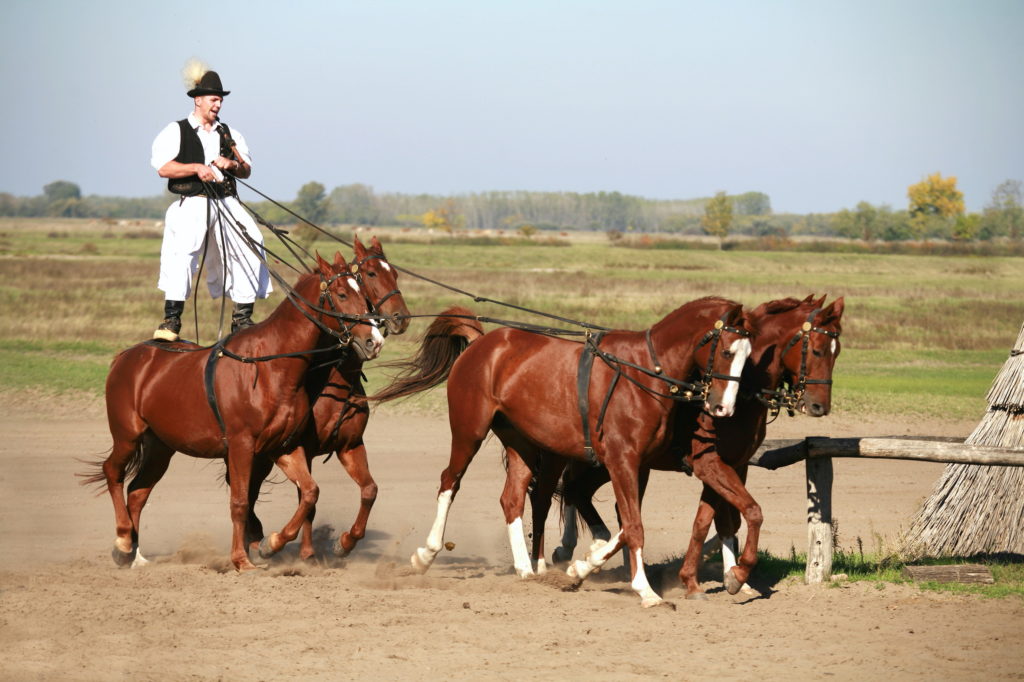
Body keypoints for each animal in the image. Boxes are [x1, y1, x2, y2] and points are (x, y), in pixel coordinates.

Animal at [83, 251, 385, 569]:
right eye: (341, 294)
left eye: (364, 295)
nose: (373, 341)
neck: (271, 365)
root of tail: (127, 356)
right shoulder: (242, 445)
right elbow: (240, 502)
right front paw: (241, 558)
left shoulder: (284, 446)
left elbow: (309, 492)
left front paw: (270, 545)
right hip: (127, 435)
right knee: (112, 472)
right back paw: (123, 541)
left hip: (160, 446)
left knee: (138, 492)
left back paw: (133, 553)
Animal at [374, 294, 753, 602]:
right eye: (727, 351)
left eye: (749, 357)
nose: (724, 408)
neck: (644, 373)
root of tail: (482, 344)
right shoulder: (622, 462)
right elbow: (633, 526)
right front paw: (645, 592)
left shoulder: (638, 466)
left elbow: (626, 526)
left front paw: (583, 566)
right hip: (469, 432)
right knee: (449, 482)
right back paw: (426, 555)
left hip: (522, 444)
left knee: (513, 499)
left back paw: (526, 569)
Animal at [544, 292, 839, 593]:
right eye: (817, 350)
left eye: (836, 351)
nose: (819, 406)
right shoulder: (709, 464)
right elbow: (746, 513)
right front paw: (733, 573)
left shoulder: (733, 465)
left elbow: (717, 521)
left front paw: (719, 577)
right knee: (576, 490)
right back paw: (577, 551)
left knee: (580, 492)